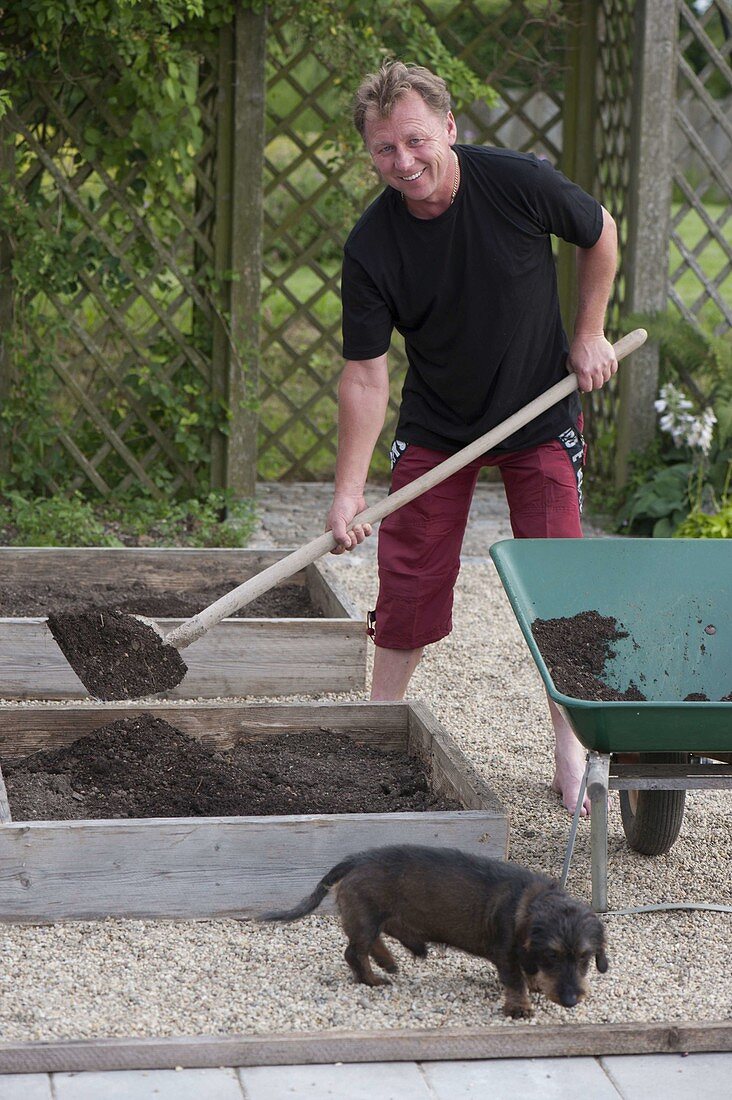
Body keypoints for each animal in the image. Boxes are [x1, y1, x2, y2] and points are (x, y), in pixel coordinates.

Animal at [259, 844, 607, 1016]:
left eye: (585, 958)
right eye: (552, 955)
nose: (571, 1000)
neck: (533, 901)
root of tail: (356, 859)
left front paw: (535, 984)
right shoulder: (506, 955)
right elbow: (515, 981)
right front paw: (520, 1007)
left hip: (374, 916)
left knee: (372, 940)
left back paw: (388, 961)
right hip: (367, 916)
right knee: (354, 952)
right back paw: (373, 979)